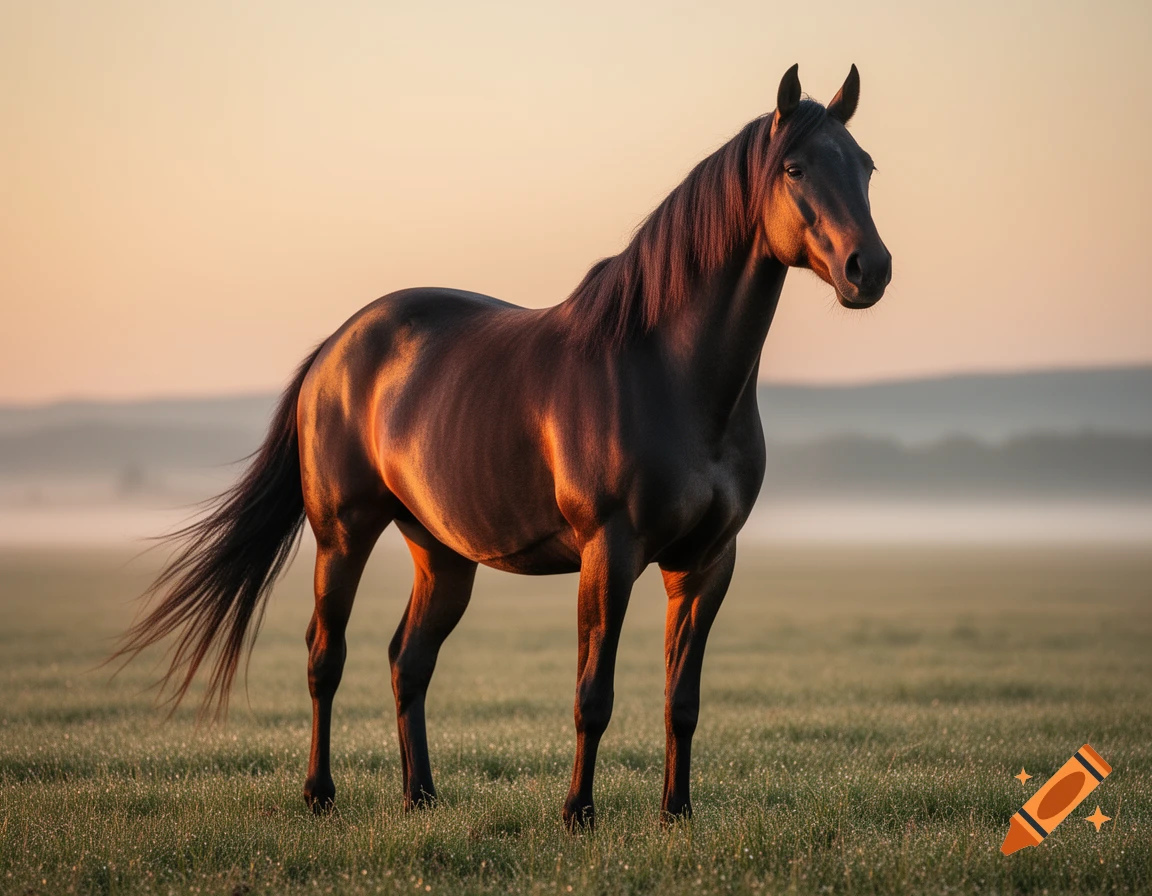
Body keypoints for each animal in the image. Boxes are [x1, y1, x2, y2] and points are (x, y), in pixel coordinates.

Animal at [114, 63, 890, 828]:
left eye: (866, 166)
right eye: (794, 167)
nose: (870, 269)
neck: (670, 374)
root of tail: (335, 349)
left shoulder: (706, 564)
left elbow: (683, 701)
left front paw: (677, 815)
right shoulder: (609, 552)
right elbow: (593, 696)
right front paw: (577, 813)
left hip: (440, 552)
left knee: (407, 660)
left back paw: (420, 795)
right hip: (343, 535)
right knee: (324, 657)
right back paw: (319, 794)